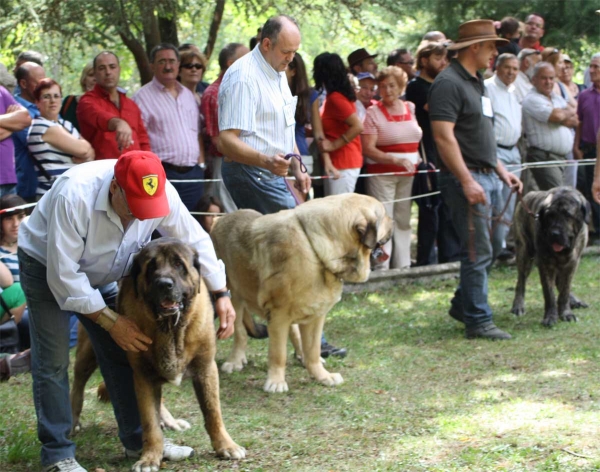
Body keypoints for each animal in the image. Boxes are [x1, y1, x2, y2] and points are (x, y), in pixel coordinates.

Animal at [211, 194, 394, 392]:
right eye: (384, 215)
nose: (393, 221)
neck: (316, 250)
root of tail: (218, 220)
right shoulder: (278, 314)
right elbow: (278, 353)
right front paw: (276, 382)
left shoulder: (315, 316)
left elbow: (312, 350)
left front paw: (322, 376)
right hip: (235, 299)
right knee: (240, 332)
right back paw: (235, 360)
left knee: (294, 334)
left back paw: (301, 356)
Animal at [510, 186, 592, 326]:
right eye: (550, 215)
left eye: (567, 215)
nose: (554, 233)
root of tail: (526, 196)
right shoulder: (545, 264)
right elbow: (549, 294)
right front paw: (551, 316)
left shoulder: (572, 263)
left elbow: (565, 290)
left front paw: (566, 313)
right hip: (524, 253)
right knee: (521, 281)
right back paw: (518, 306)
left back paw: (574, 301)